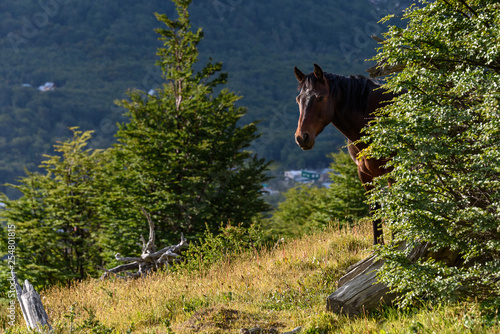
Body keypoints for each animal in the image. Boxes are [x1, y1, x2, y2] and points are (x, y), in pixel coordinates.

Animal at [292, 64, 394, 244]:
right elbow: (375, 210)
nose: (302, 138)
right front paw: (379, 246)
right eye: (299, 99)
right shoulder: (365, 174)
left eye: (320, 98)